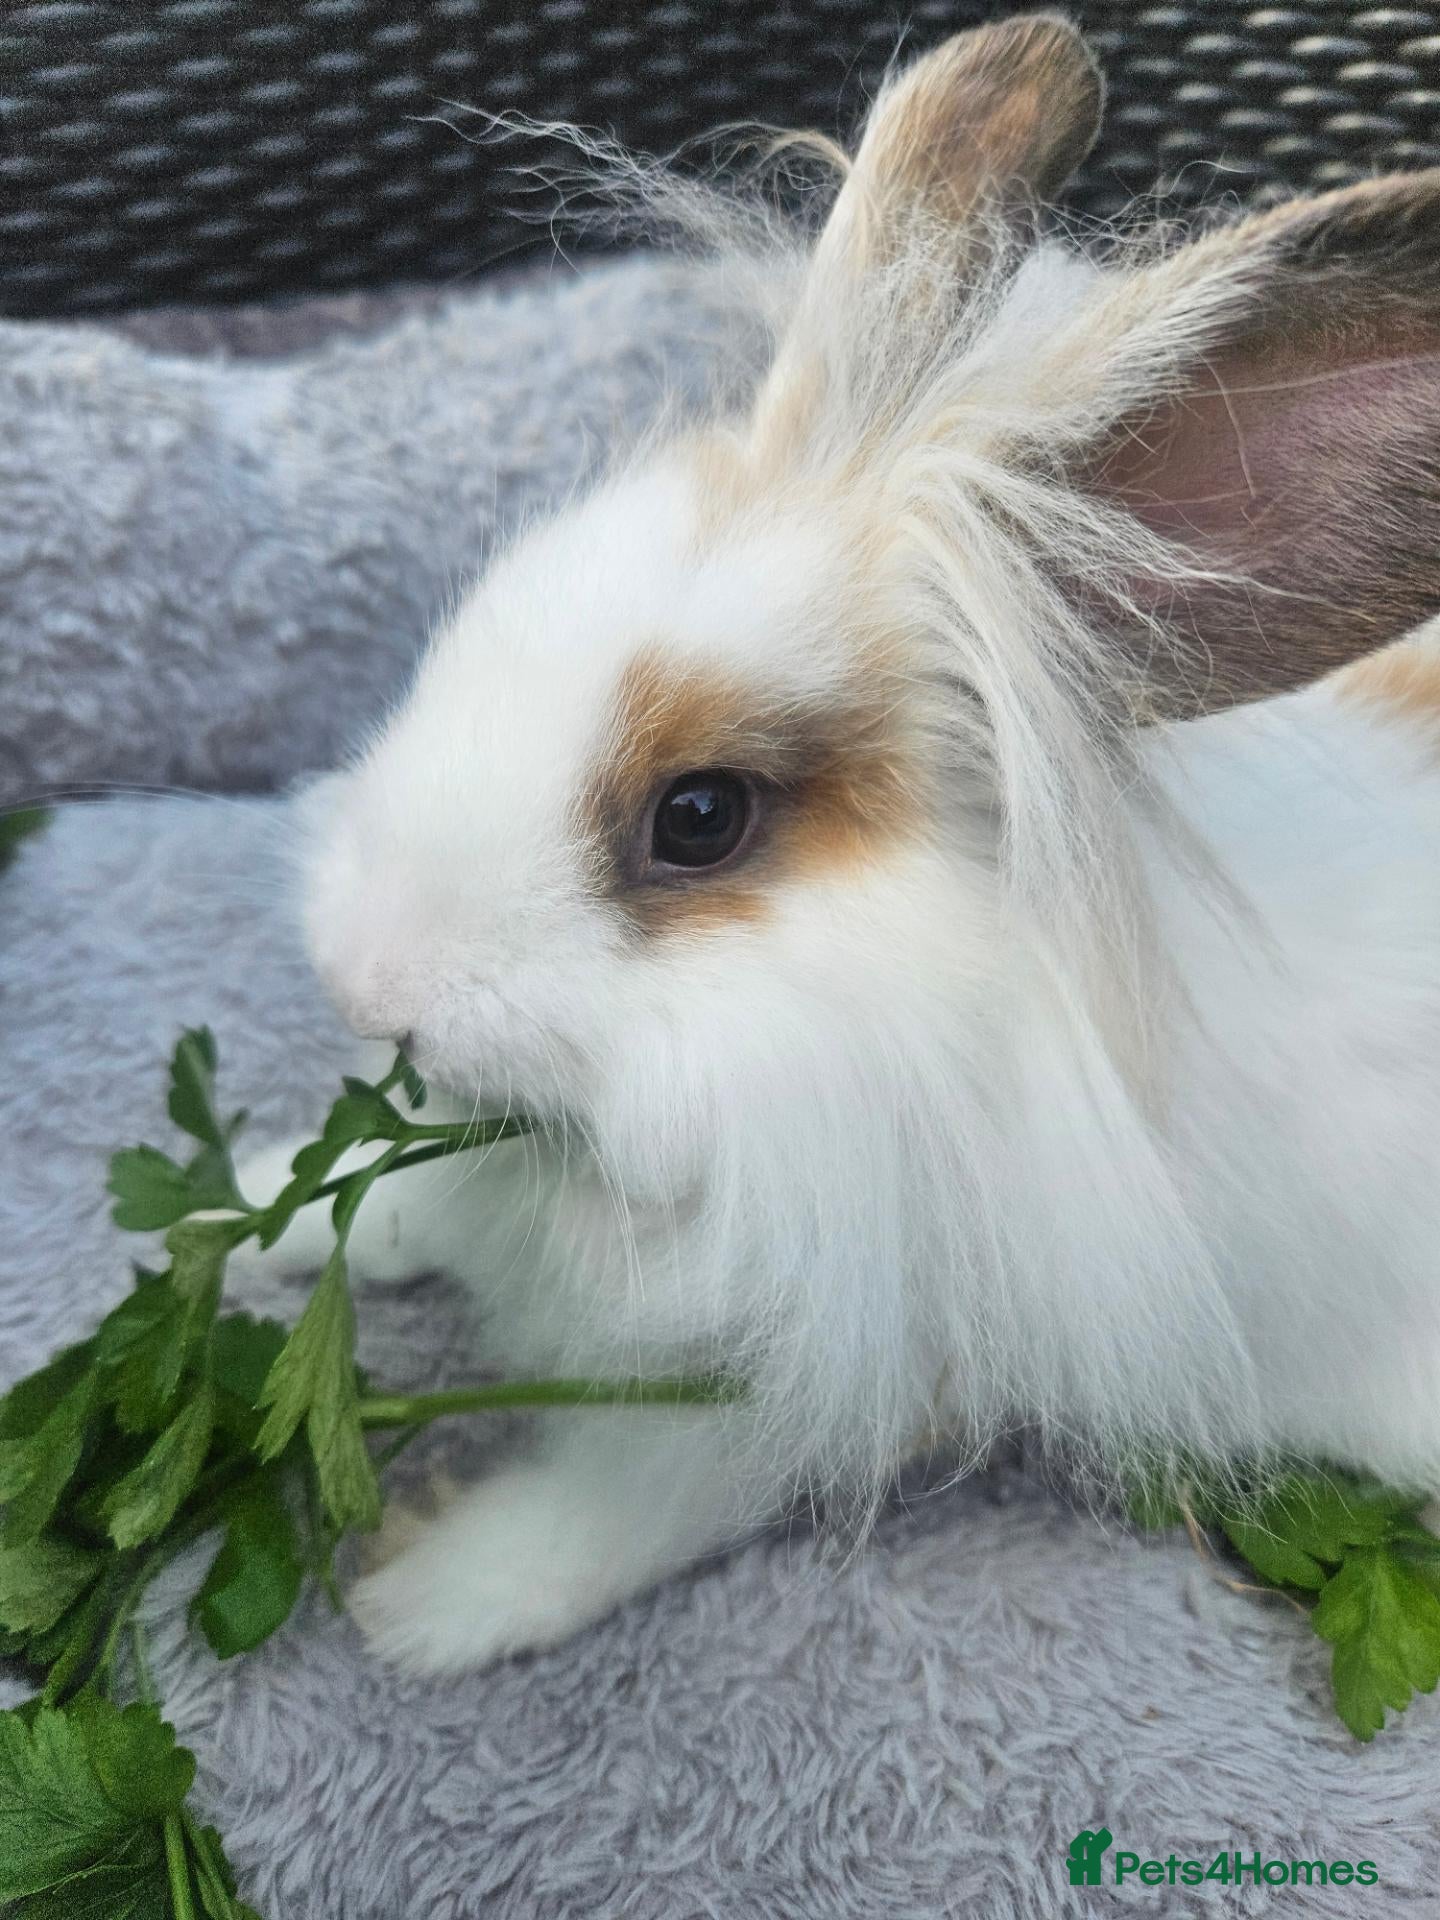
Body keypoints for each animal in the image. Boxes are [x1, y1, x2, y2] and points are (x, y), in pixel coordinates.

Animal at [241, 12, 1440, 1674]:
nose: (364, 977)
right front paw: (245, 1212)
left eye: (699, 818)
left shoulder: (829, 1369)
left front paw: (427, 1601)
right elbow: (398, 1192)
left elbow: (624, 1502)